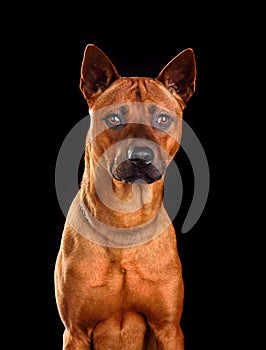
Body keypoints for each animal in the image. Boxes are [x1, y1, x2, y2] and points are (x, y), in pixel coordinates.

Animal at [54, 42, 195, 348]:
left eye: (163, 119)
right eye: (114, 118)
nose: (140, 157)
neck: (124, 223)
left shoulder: (168, 328)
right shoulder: (75, 331)